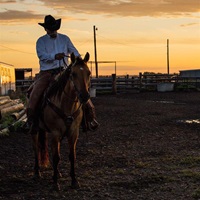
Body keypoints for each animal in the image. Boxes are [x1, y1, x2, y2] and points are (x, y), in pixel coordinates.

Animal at [31, 52, 90, 190]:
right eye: (73, 74)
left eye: (89, 73)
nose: (85, 96)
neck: (65, 105)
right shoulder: (55, 132)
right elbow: (56, 157)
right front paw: (55, 183)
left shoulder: (73, 133)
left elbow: (72, 156)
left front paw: (74, 180)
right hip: (35, 129)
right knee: (36, 148)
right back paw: (37, 172)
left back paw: (57, 172)